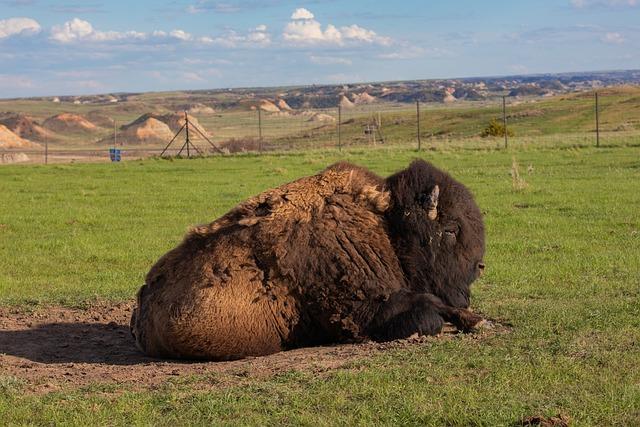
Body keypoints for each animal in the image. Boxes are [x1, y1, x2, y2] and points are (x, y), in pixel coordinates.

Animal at [132, 160, 488, 362]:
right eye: (451, 229)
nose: (479, 268)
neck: (385, 222)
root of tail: (142, 306)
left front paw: (476, 320)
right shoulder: (367, 309)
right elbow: (428, 312)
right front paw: (473, 321)